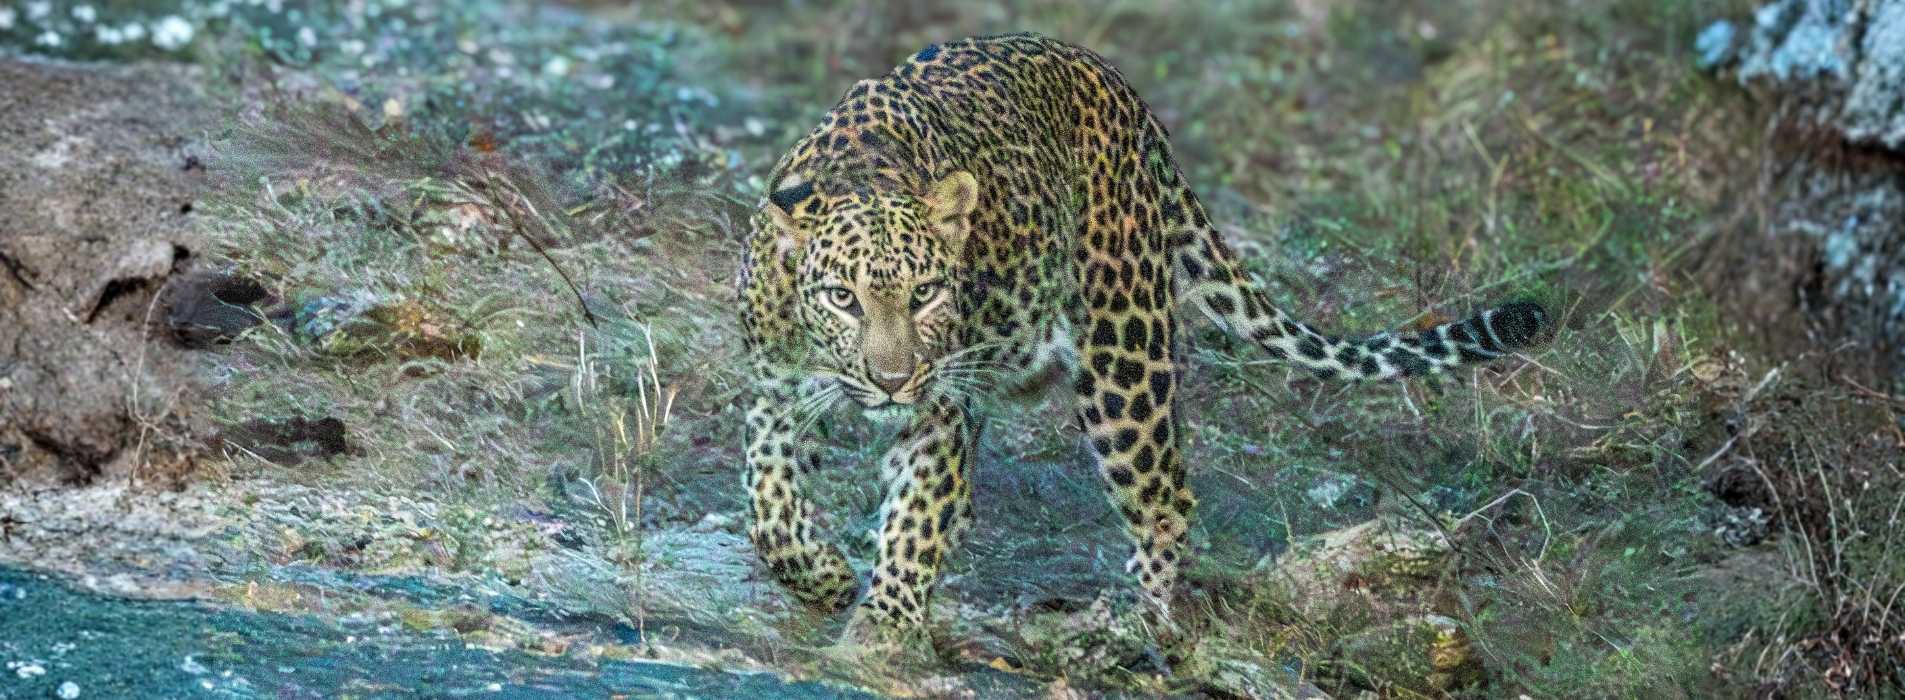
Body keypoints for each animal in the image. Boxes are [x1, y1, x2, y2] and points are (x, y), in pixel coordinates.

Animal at [735, 32, 1549, 644]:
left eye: (926, 294)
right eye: (842, 298)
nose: (891, 380)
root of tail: (1115, 84)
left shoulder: (943, 406)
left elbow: (916, 515)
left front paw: (885, 624)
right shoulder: (773, 390)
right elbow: (768, 500)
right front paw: (824, 576)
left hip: (1123, 360)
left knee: (1166, 499)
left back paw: (1143, 625)